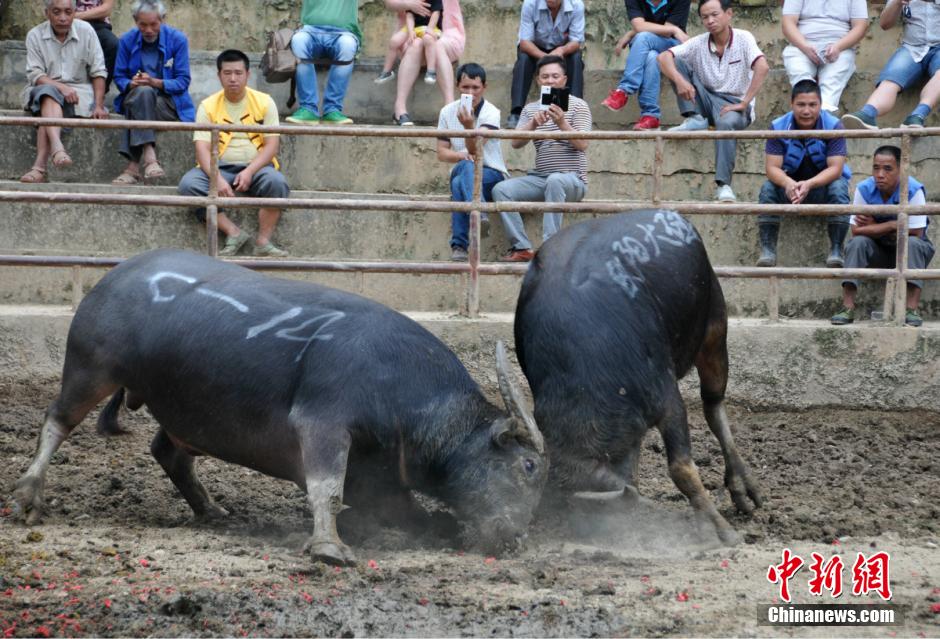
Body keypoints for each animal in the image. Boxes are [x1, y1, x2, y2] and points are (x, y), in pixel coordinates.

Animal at [11, 250, 548, 564]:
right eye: (527, 465)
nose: (516, 537)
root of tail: (117, 275)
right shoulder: (323, 425)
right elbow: (326, 488)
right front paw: (330, 547)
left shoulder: (380, 475)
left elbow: (402, 510)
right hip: (89, 368)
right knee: (56, 421)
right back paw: (28, 495)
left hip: (185, 411)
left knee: (168, 451)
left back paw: (211, 509)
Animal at [516, 211, 764, 544]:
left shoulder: (667, 396)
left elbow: (681, 468)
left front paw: (717, 528)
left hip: (715, 326)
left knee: (714, 406)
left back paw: (742, 486)